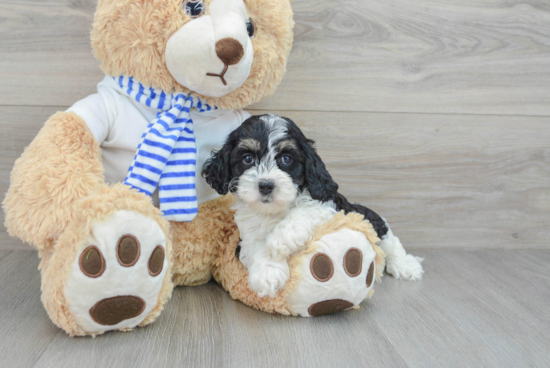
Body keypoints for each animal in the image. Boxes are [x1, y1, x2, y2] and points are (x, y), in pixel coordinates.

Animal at [205, 113, 424, 298]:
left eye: (286, 159)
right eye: (248, 158)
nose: (266, 185)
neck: (275, 211)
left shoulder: (328, 205)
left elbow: (303, 212)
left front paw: (280, 240)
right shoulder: (247, 233)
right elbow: (256, 245)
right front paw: (268, 274)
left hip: (369, 218)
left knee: (389, 240)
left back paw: (406, 265)